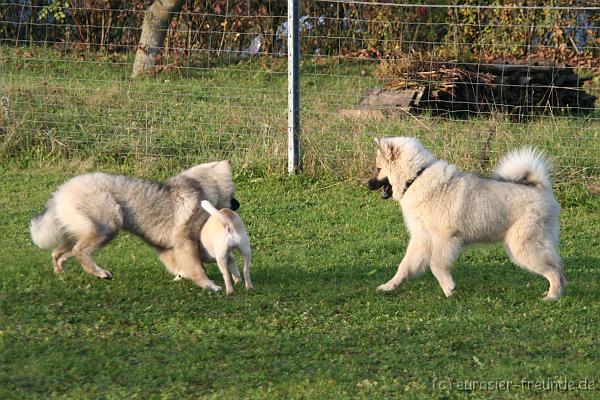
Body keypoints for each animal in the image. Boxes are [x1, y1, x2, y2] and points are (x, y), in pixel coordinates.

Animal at [29, 160, 237, 294]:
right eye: (233, 194)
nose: (237, 204)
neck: (203, 188)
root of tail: (60, 193)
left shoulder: (165, 248)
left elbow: (179, 266)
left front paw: (181, 276)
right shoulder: (185, 243)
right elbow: (197, 268)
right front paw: (209, 285)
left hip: (80, 231)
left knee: (59, 253)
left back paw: (61, 273)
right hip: (108, 225)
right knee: (79, 251)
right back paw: (99, 272)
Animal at [366, 138, 568, 300]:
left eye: (378, 168)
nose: (367, 184)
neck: (416, 177)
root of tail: (541, 188)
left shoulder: (445, 238)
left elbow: (436, 265)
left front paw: (449, 288)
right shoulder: (422, 239)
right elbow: (404, 267)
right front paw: (389, 286)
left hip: (523, 246)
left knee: (554, 270)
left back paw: (553, 296)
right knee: (558, 266)